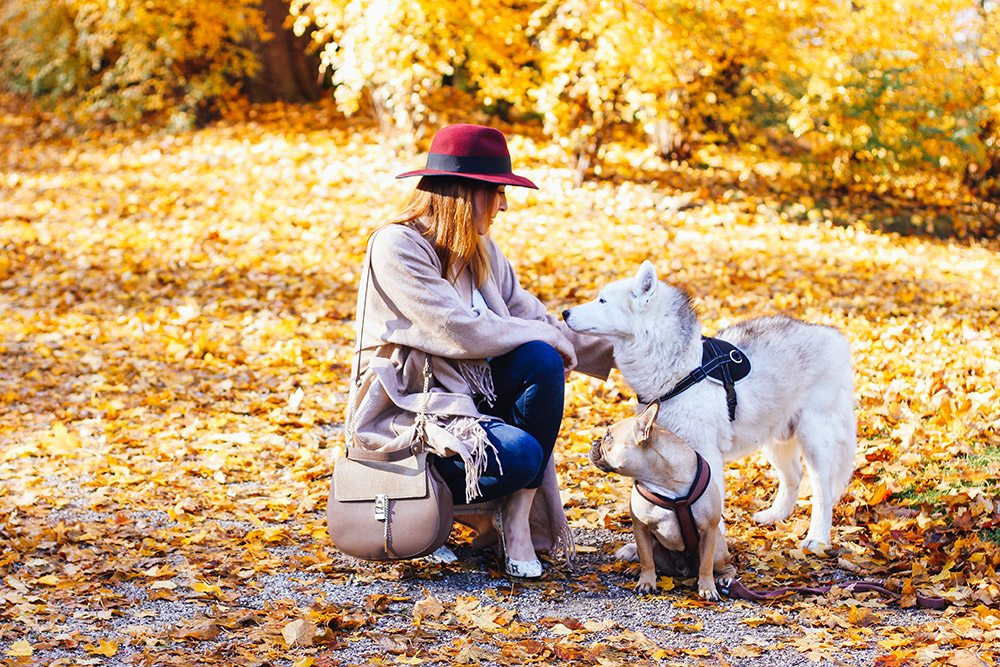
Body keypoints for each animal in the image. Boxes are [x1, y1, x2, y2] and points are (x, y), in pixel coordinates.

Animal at [568, 260, 856, 552]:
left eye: (602, 300)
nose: (564, 312)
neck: (681, 370)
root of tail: (832, 335)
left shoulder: (705, 454)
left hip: (814, 439)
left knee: (823, 490)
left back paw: (818, 538)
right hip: (773, 437)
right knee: (794, 476)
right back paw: (774, 516)